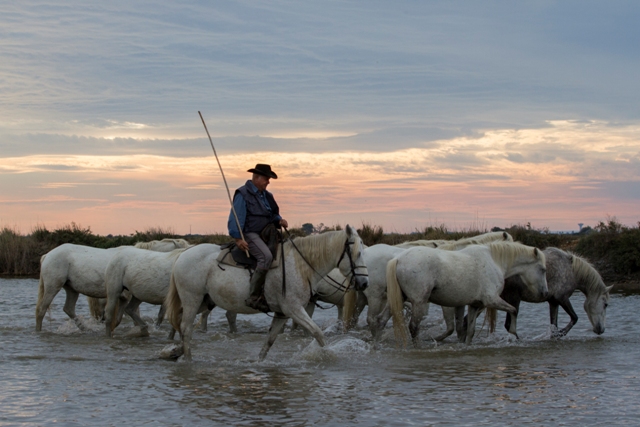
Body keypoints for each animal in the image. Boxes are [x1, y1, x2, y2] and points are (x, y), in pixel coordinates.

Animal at [166, 226, 370, 362]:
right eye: (358, 253)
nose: (364, 283)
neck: (301, 265)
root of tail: (183, 254)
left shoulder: (281, 313)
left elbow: (269, 341)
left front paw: (258, 363)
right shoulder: (294, 309)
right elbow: (318, 334)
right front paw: (328, 355)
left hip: (203, 301)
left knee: (179, 322)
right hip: (192, 299)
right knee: (186, 329)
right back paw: (188, 360)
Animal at [382, 242, 548, 346]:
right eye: (543, 269)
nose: (545, 293)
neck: (494, 262)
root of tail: (398, 259)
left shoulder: (474, 304)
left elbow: (470, 331)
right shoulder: (492, 300)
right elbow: (513, 310)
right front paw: (513, 333)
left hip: (397, 301)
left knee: (380, 321)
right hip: (419, 302)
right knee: (414, 327)